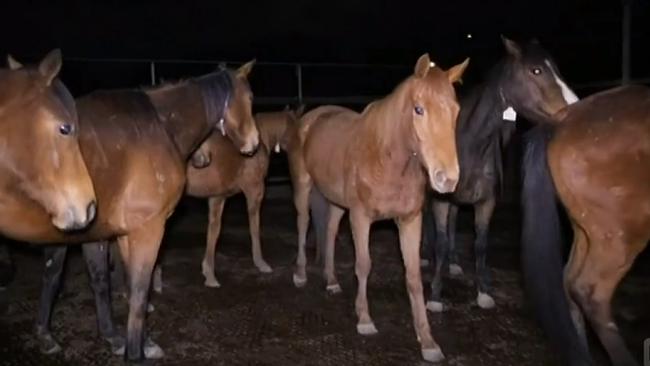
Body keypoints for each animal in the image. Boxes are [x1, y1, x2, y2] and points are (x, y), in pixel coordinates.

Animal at [8, 58, 258, 362]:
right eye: (250, 98)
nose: (254, 143)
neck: (157, 128)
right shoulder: (145, 229)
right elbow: (137, 291)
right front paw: (134, 350)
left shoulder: (111, 234)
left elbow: (109, 282)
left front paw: (121, 338)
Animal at [184, 104, 302, 288]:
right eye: (297, 131)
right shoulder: (254, 192)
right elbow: (254, 227)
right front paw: (261, 263)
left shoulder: (217, 196)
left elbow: (213, 231)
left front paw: (208, 272)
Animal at [288, 54, 466, 364]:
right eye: (419, 109)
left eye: (455, 111)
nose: (447, 179)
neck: (388, 160)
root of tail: (310, 118)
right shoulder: (361, 218)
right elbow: (363, 265)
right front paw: (364, 319)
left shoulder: (409, 220)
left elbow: (413, 277)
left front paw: (428, 341)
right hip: (303, 186)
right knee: (302, 224)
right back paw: (300, 274)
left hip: (337, 201)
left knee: (330, 230)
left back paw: (331, 281)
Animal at [422, 36, 580, 312]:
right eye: (536, 70)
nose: (575, 108)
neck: (468, 145)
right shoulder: (440, 199)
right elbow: (439, 243)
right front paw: (435, 296)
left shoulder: (486, 202)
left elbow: (480, 244)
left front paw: (483, 292)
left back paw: (454, 263)